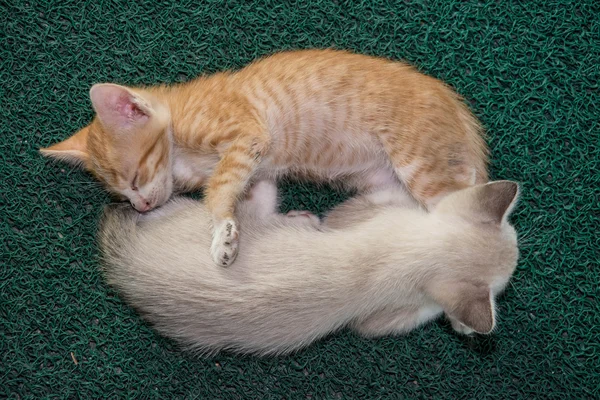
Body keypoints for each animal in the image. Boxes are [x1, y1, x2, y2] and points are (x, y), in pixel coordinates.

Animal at [43, 49, 492, 266]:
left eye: (135, 178)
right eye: (121, 195)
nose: (141, 207)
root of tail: (457, 108)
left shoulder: (246, 135)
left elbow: (218, 189)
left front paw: (221, 233)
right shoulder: (258, 171)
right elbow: (254, 201)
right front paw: (268, 222)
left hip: (422, 167)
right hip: (386, 185)